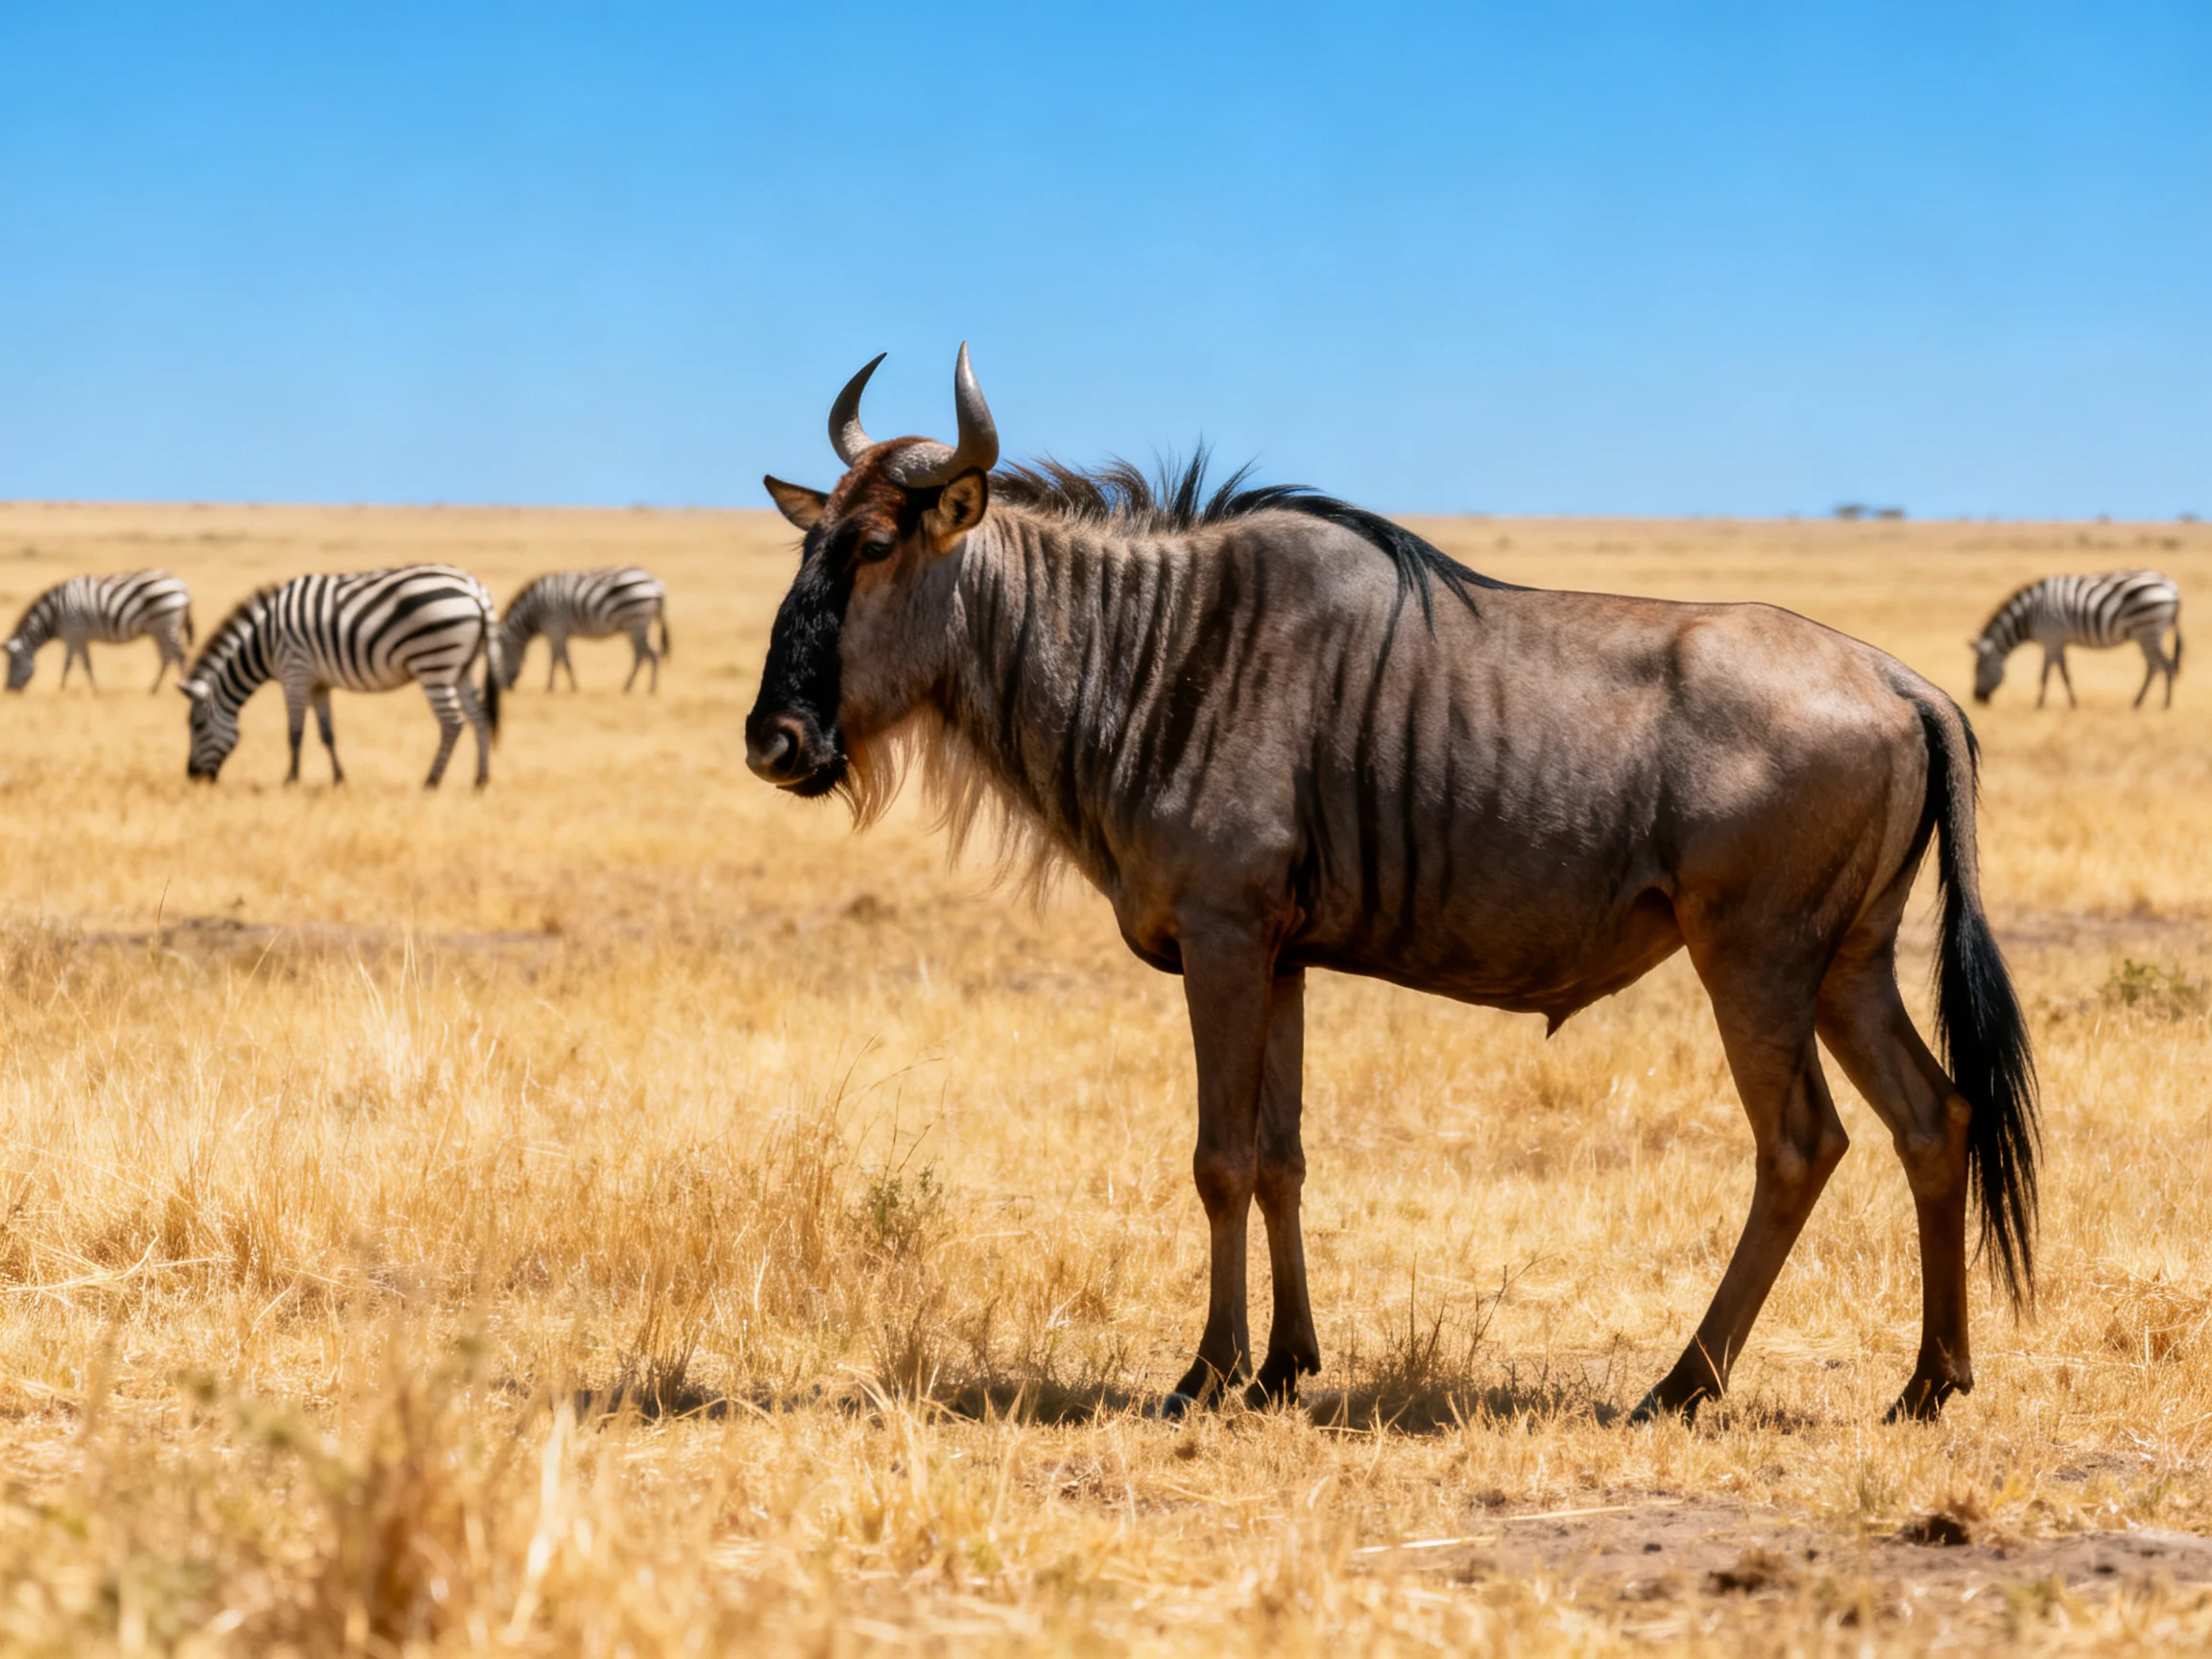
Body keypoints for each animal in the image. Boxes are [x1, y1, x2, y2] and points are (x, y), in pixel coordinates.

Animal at [6, 571, 195, 693]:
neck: (54, 614)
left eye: (13, 664)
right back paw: (154, 688)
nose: (8, 690)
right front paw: (65, 688)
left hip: (165, 624)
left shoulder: (77, 632)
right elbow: (73, 663)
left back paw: (178, 687)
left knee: (179, 655)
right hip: (160, 628)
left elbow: (80, 663)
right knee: (167, 657)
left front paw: (86, 690)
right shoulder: (73, 636)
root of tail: (182, 585)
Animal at [179, 566, 502, 787]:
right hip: (462, 667)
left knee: (453, 722)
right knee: (479, 716)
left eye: (197, 725)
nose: (193, 776)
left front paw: (290, 780)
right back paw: (481, 780)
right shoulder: (317, 683)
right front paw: (338, 779)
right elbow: (327, 733)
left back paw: (431, 781)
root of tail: (474, 589)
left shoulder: (294, 673)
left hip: (435, 663)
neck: (265, 642)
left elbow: (294, 732)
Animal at [496, 567, 670, 693]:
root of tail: (655, 583)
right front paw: (567, 686)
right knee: (646, 655)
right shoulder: (560, 632)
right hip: (637, 625)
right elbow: (562, 659)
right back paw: (640, 687)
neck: (534, 610)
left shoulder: (555, 628)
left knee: (645, 655)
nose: (504, 687)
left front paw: (553, 687)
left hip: (636, 622)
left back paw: (637, 687)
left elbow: (558, 660)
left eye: (500, 657)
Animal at [1972, 570, 2183, 708]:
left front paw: (2039, 704)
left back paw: (2165, 704)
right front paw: (2073, 702)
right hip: (2148, 633)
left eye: (1979, 668)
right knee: (2154, 666)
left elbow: (2045, 673)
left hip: (2148, 630)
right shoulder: (2058, 641)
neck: (2028, 616)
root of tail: (2169, 585)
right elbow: (2063, 672)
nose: (1977, 699)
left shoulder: (2051, 638)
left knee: (2165, 664)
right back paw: (2139, 701)